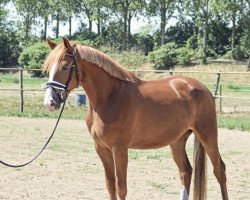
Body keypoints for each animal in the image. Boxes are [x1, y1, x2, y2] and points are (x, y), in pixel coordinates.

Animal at [43, 38, 229, 200]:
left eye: (65, 66)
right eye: (48, 68)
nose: (50, 102)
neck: (110, 97)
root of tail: (203, 88)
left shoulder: (120, 148)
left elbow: (121, 188)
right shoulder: (101, 148)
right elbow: (110, 185)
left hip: (208, 135)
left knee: (219, 170)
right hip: (177, 140)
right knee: (186, 171)